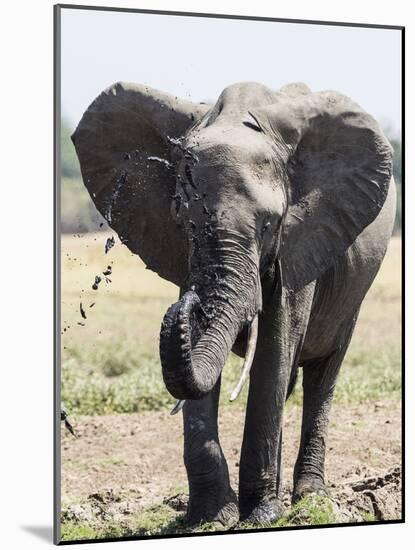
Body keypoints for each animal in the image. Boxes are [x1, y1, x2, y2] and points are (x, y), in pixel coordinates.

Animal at [71, 80, 396, 528]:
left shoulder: (302, 242)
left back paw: (311, 500)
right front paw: (210, 519)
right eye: (182, 220)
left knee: (321, 375)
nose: (190, 302)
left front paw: (261, 517)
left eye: (269, 224)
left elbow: (274, 354)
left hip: (353, 294)